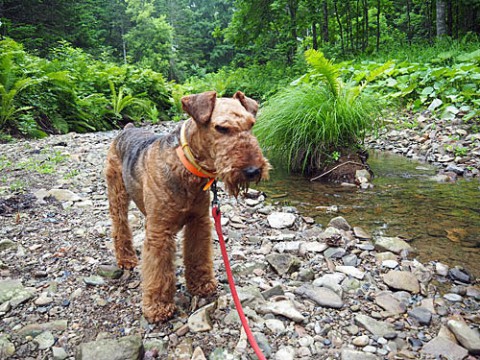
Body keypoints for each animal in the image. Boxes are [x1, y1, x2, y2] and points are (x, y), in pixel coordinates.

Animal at [105, 91, 270, 322]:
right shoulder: (159, 232)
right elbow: (158, 271)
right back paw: (126, 259)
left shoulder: (198, 222)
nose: (253, 170)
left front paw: (201, 284)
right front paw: (158, 306)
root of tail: (127, 129)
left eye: (251, 124)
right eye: (221, 128)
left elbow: (197, 256)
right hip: (117, 195)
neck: (186, 166)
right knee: (120, 227)